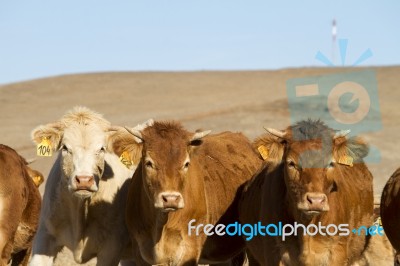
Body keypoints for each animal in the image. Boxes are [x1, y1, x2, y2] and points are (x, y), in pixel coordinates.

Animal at [108, 121, 264, 266]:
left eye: (186, 164)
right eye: (149, 163)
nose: (171, 199)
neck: (160, 226)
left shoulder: (189, 251)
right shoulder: (140, 253)